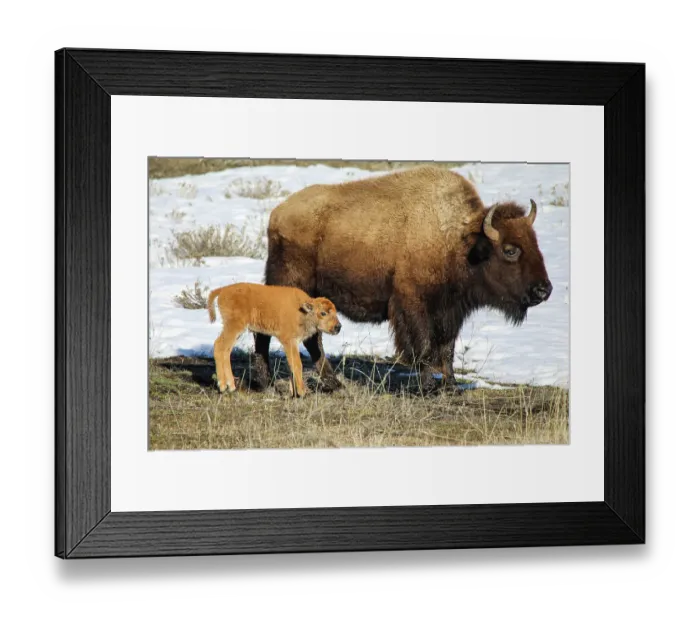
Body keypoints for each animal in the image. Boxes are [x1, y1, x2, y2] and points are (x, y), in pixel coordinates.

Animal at [253, 166, 552, 390]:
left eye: (535, 242)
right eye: (510, 250)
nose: (544, 290)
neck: (458, 240)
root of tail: (277, 215)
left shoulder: (450, 311)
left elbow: (447, 348)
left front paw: (451, 385)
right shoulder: (413, 304)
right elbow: (424, 347)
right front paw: (427, 386)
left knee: (312, 339)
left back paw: (332, 383)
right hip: (291, 285)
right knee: (273, 332)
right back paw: (267, 382)